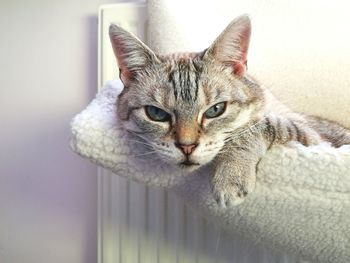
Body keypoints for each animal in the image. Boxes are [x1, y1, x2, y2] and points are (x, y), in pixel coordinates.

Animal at [108, 15, 350, 209]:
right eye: (156, 114)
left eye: (215, 110)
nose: (187, 147)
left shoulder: (312, 137)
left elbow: (255, 128)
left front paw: (231, 176)